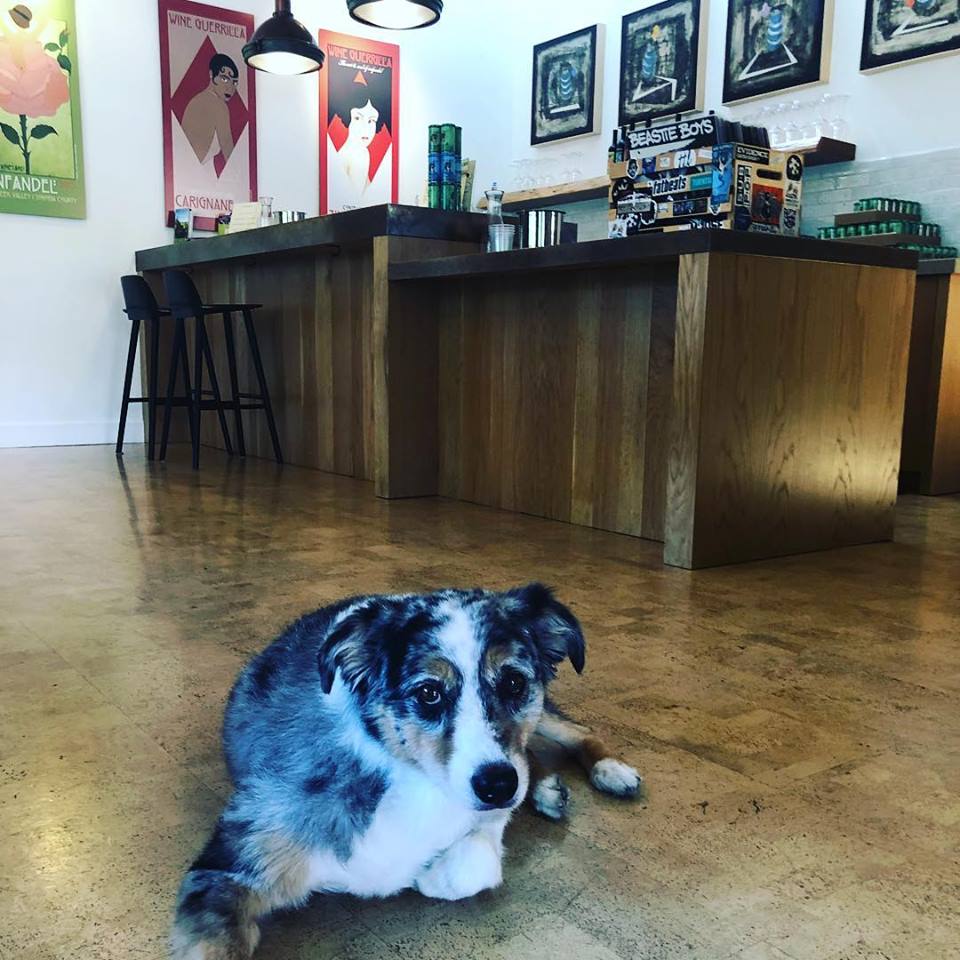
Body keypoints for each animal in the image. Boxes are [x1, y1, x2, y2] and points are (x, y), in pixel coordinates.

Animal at [171, 584, 641, 959]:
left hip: (540, 723)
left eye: (513, 682)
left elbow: (474, 865)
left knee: (572, 732)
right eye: (429, 692)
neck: (407, 773)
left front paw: (426, 874)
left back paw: (607, 771)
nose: (496, 786)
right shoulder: (231, 866)